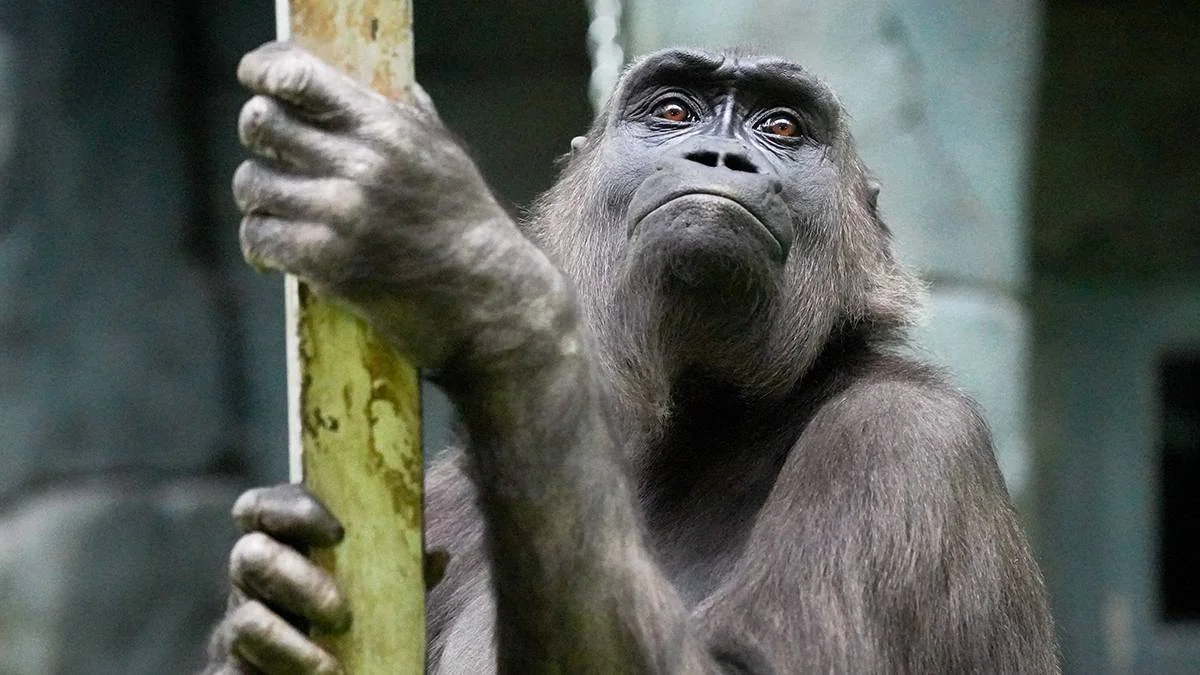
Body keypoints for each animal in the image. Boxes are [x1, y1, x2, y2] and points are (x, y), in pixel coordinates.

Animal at [203, 42, 1060, 674]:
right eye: (674, 110)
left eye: (782, 127)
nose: (720, 155)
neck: (700, 426)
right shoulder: (440, 497)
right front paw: (268, 596)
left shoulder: (906, 440)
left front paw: (460, 258)